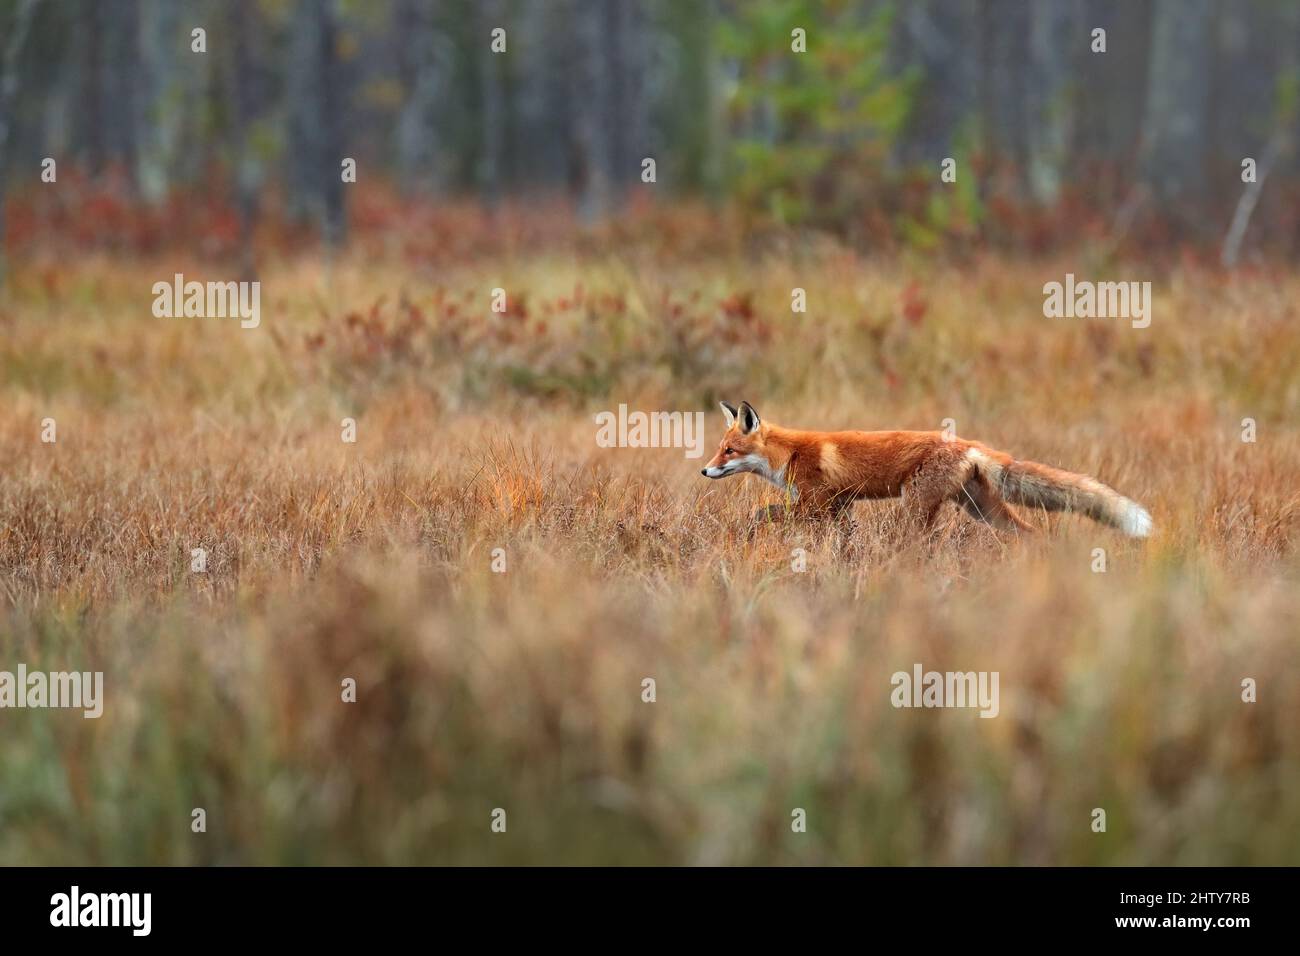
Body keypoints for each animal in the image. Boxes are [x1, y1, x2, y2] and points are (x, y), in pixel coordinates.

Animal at [700, 401, 1153, 537]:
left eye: (728, 451)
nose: (704, 472)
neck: (789, 453)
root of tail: (970, 444)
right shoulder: (839, 505)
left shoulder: (815, 502)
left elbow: (765, 514)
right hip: (981, 510)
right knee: (1030, 534)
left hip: (916, 505)